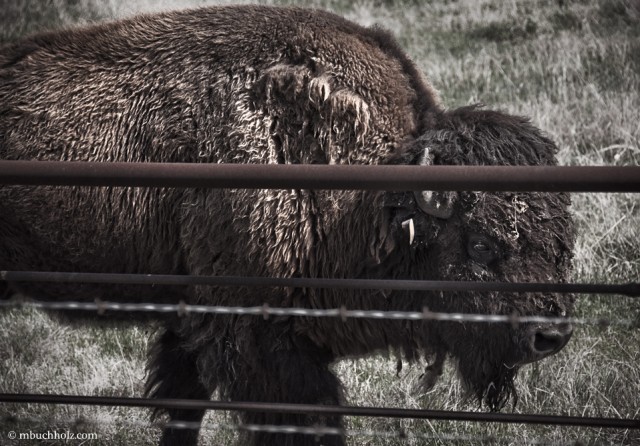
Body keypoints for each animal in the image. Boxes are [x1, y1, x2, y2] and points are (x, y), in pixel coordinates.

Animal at [1, 6, 576, 446]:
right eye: (479, 244)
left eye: (560, 244)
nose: (550, 335)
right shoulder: (258, 336)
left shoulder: (192, 317)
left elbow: (183, 405)